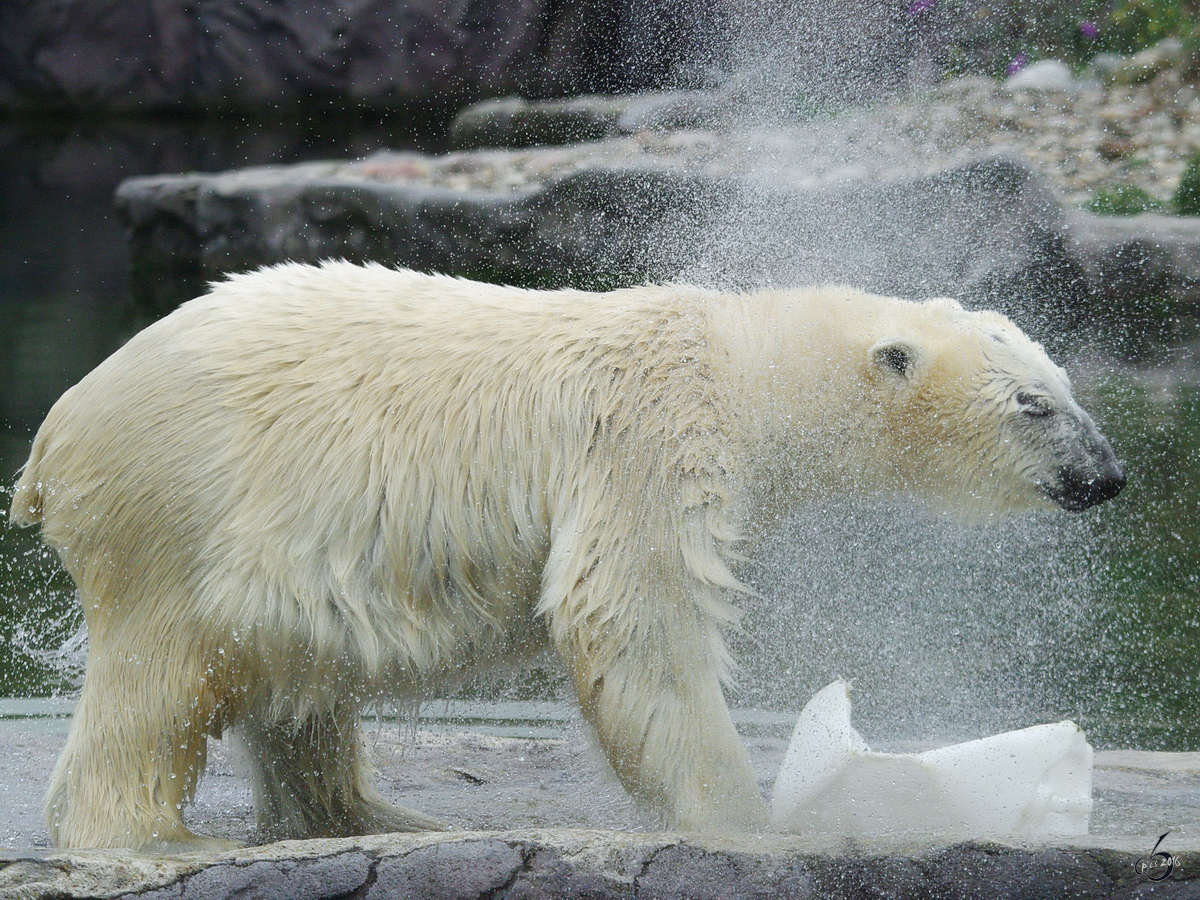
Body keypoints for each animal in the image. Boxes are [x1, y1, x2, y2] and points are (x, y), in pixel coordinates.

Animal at [9, 262, 1123, 854]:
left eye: (1068, 386)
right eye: (1033, 404)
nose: (1108, 475)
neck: (734, 362)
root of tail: (55, 435)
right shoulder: (646, 440)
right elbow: (629, 617)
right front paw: (750, 822)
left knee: (296, 681)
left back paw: (386, 816)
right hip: (181, 514)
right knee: (159, 686)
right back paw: (147, 835)